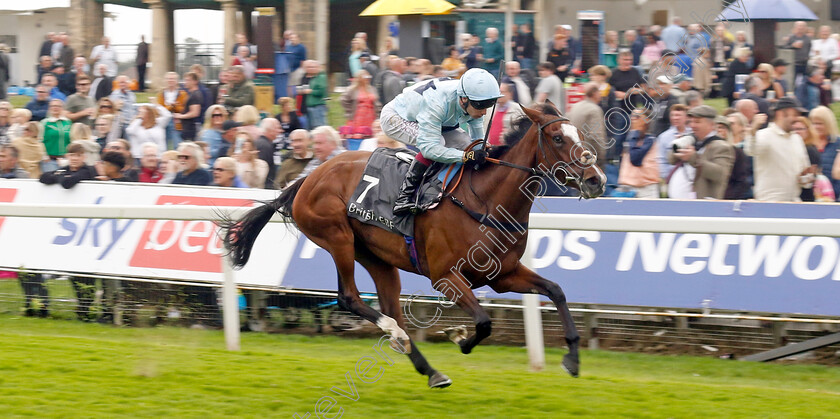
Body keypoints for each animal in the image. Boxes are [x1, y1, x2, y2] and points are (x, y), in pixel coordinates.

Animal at [223, 104, 604, 388]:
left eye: (579, 134)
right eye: (558, 137)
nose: (596, 179)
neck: (485, 200)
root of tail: (305, 179)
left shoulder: (502, 275)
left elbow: (555, 290)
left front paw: (572, 358)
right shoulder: (446, 278)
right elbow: (483, 322)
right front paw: (459, 336)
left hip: (377, 258)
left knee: (390, 307)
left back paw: (428, 369)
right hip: (337, 238)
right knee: (350, 297)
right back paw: (394, 334)